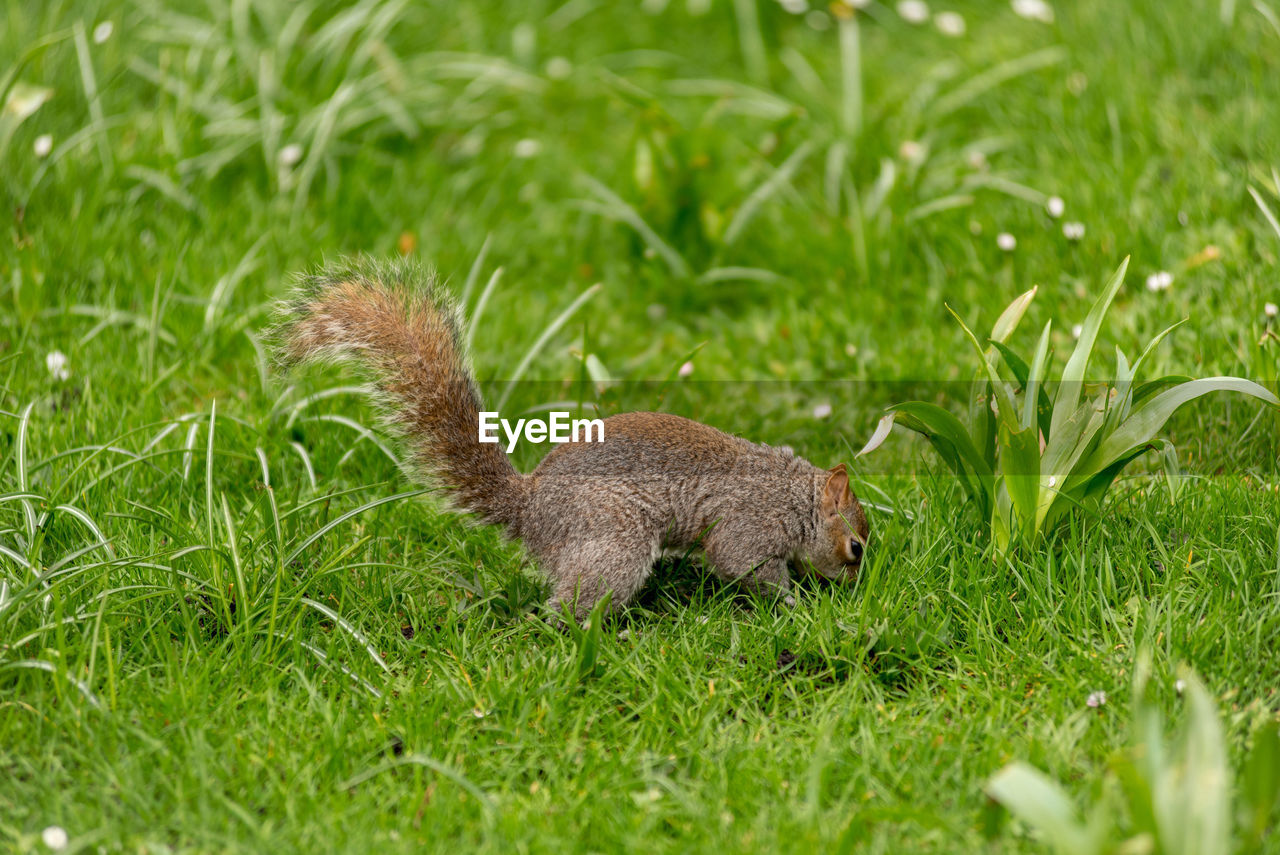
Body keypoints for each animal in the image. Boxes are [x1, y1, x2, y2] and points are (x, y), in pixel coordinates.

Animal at [272, 257, 870, 616]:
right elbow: (743, 564)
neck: (793, 496)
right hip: (614, 539)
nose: (852, 589)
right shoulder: (749, 525)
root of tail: (530, 509)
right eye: (856, 548)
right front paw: (793, 606)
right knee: (571, 604)